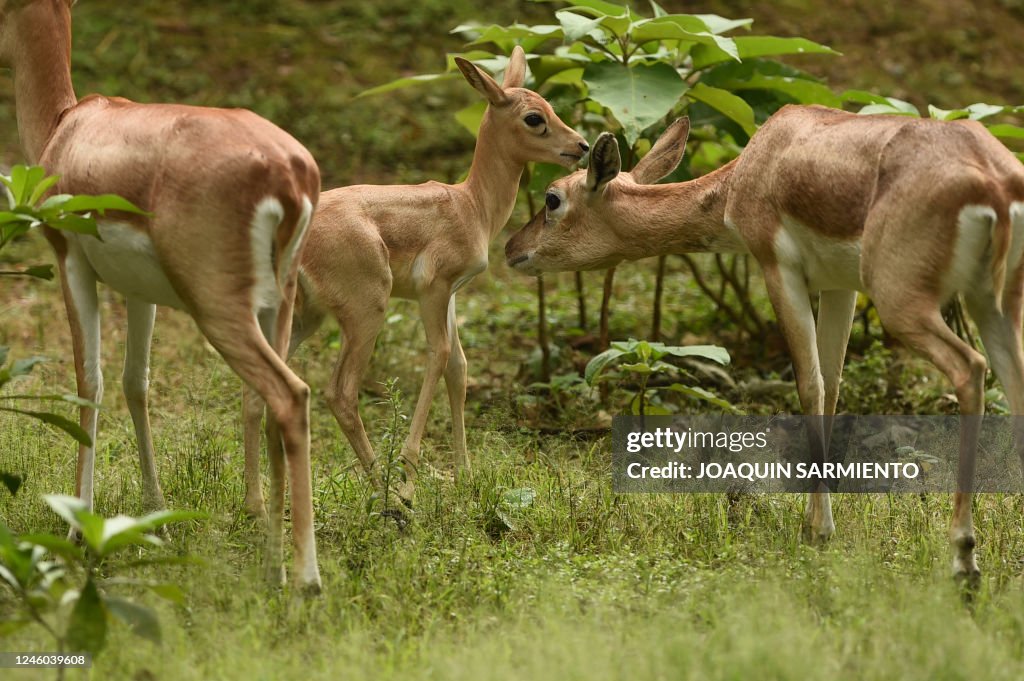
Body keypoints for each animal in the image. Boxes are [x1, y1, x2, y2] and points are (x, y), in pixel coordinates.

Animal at [1, 0, 322, 590]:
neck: (66, 128)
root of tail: (289, 174)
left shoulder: (69, 262)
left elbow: (89, 383)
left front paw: (78, 527)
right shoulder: (138, 291)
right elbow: (136, 385)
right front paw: (155, 516)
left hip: (218, 310)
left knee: (291, 396)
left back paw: (305, 581)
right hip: (278, 304)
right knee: (265, 404)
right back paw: (271, 564)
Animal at [242, 46, 587, 514]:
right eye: (535, 117)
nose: (581, 145)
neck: (471, 205)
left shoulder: (454, 295)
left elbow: (459, 367)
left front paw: (465, 476)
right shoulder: (433, 289)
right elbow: (438, 355)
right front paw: (410, 477)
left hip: (300, 317)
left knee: (258, 389)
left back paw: (259, 506)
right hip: (366, 312)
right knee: (340, 393)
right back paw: (388, 495)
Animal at [505, 106, 1024, 583]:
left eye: (552, 199)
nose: (512, 249)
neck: (749, 173)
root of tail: (994, 181)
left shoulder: (779, 269)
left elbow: (809, 386)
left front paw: (818, 530)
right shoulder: (841, 285)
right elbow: (831, 384)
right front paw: (816, 522)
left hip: (905, 302)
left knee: (971, 368)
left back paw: (964, 559)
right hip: (993, 301)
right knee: (1012, 380)